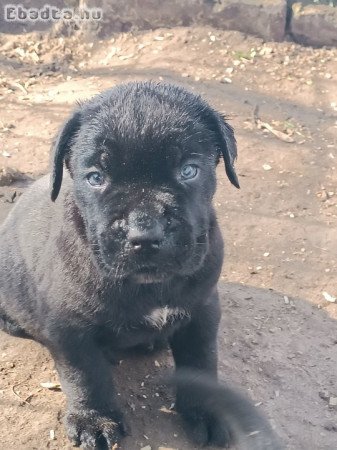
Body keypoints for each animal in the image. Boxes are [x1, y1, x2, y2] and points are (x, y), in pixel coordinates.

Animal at [0, 82, 276, 448]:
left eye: (189, 171)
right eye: (95, 177)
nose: (144, 233)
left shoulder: (202, 309)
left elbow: (201, 361)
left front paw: (205, 411)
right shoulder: (69, 326)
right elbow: (85, 373)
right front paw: (94, 420)